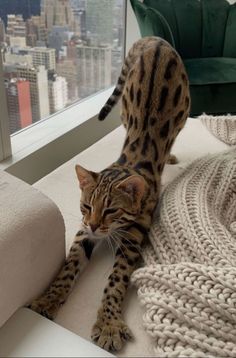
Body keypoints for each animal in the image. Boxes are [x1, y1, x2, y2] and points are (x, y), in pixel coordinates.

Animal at [27, 37, 190, 352]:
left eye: (112, 210)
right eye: (86, 206)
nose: (94, 225)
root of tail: (154, 40)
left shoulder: (134, 237)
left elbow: (116, 280)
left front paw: (108, 323)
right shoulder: (83, 234)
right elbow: (68, 268)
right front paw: (49, 300)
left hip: (183, 112)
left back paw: (171, 156)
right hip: (126, 108)